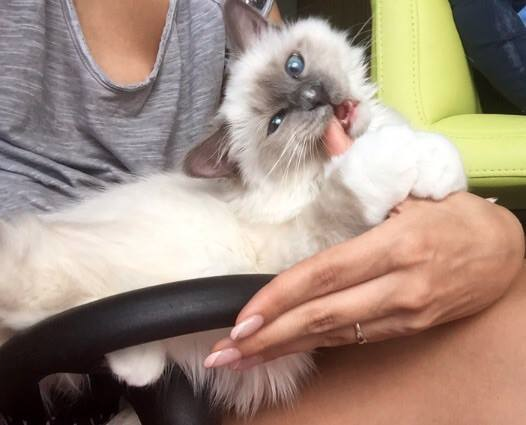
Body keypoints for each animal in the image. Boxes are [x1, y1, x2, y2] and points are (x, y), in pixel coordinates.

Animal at [0, 0, 467, 417]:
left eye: (294, 66)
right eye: (277, 122)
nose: (313, 96)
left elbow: (438, 154)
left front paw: (437, 169)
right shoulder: (290, 257)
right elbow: (345, 196)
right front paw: (389, 159)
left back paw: (140, 364)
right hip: (64, 279)